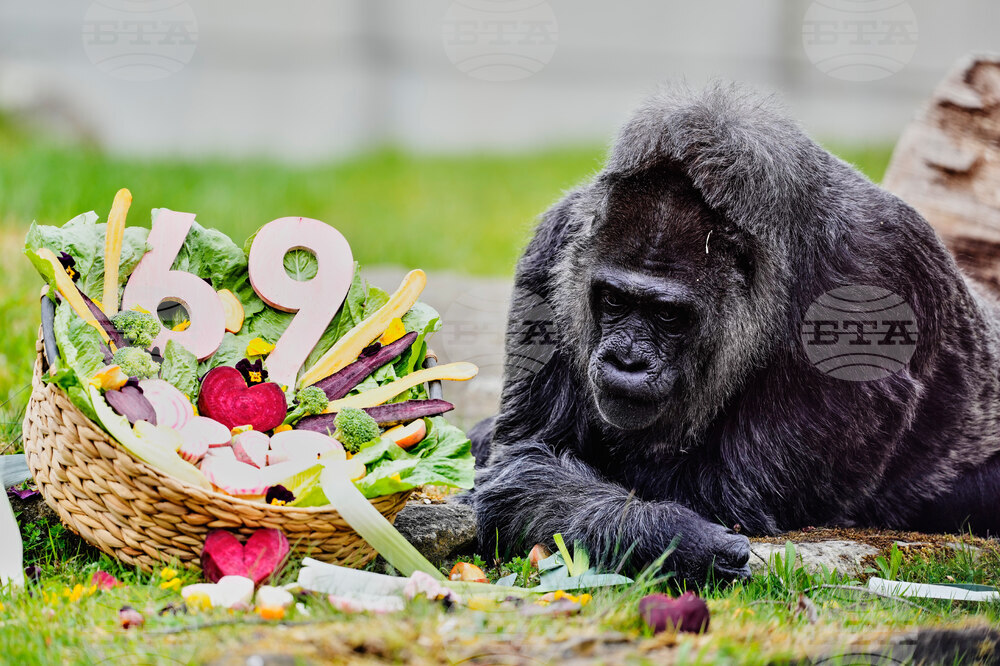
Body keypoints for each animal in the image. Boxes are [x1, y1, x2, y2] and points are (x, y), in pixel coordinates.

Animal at [468, 83, 1000, 585]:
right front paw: (667, 536)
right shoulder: (555, 243)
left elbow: (727, 494)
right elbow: (526, 458)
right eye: (615, 301)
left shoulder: (870, 276)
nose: (626, 361)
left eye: (668, 316)